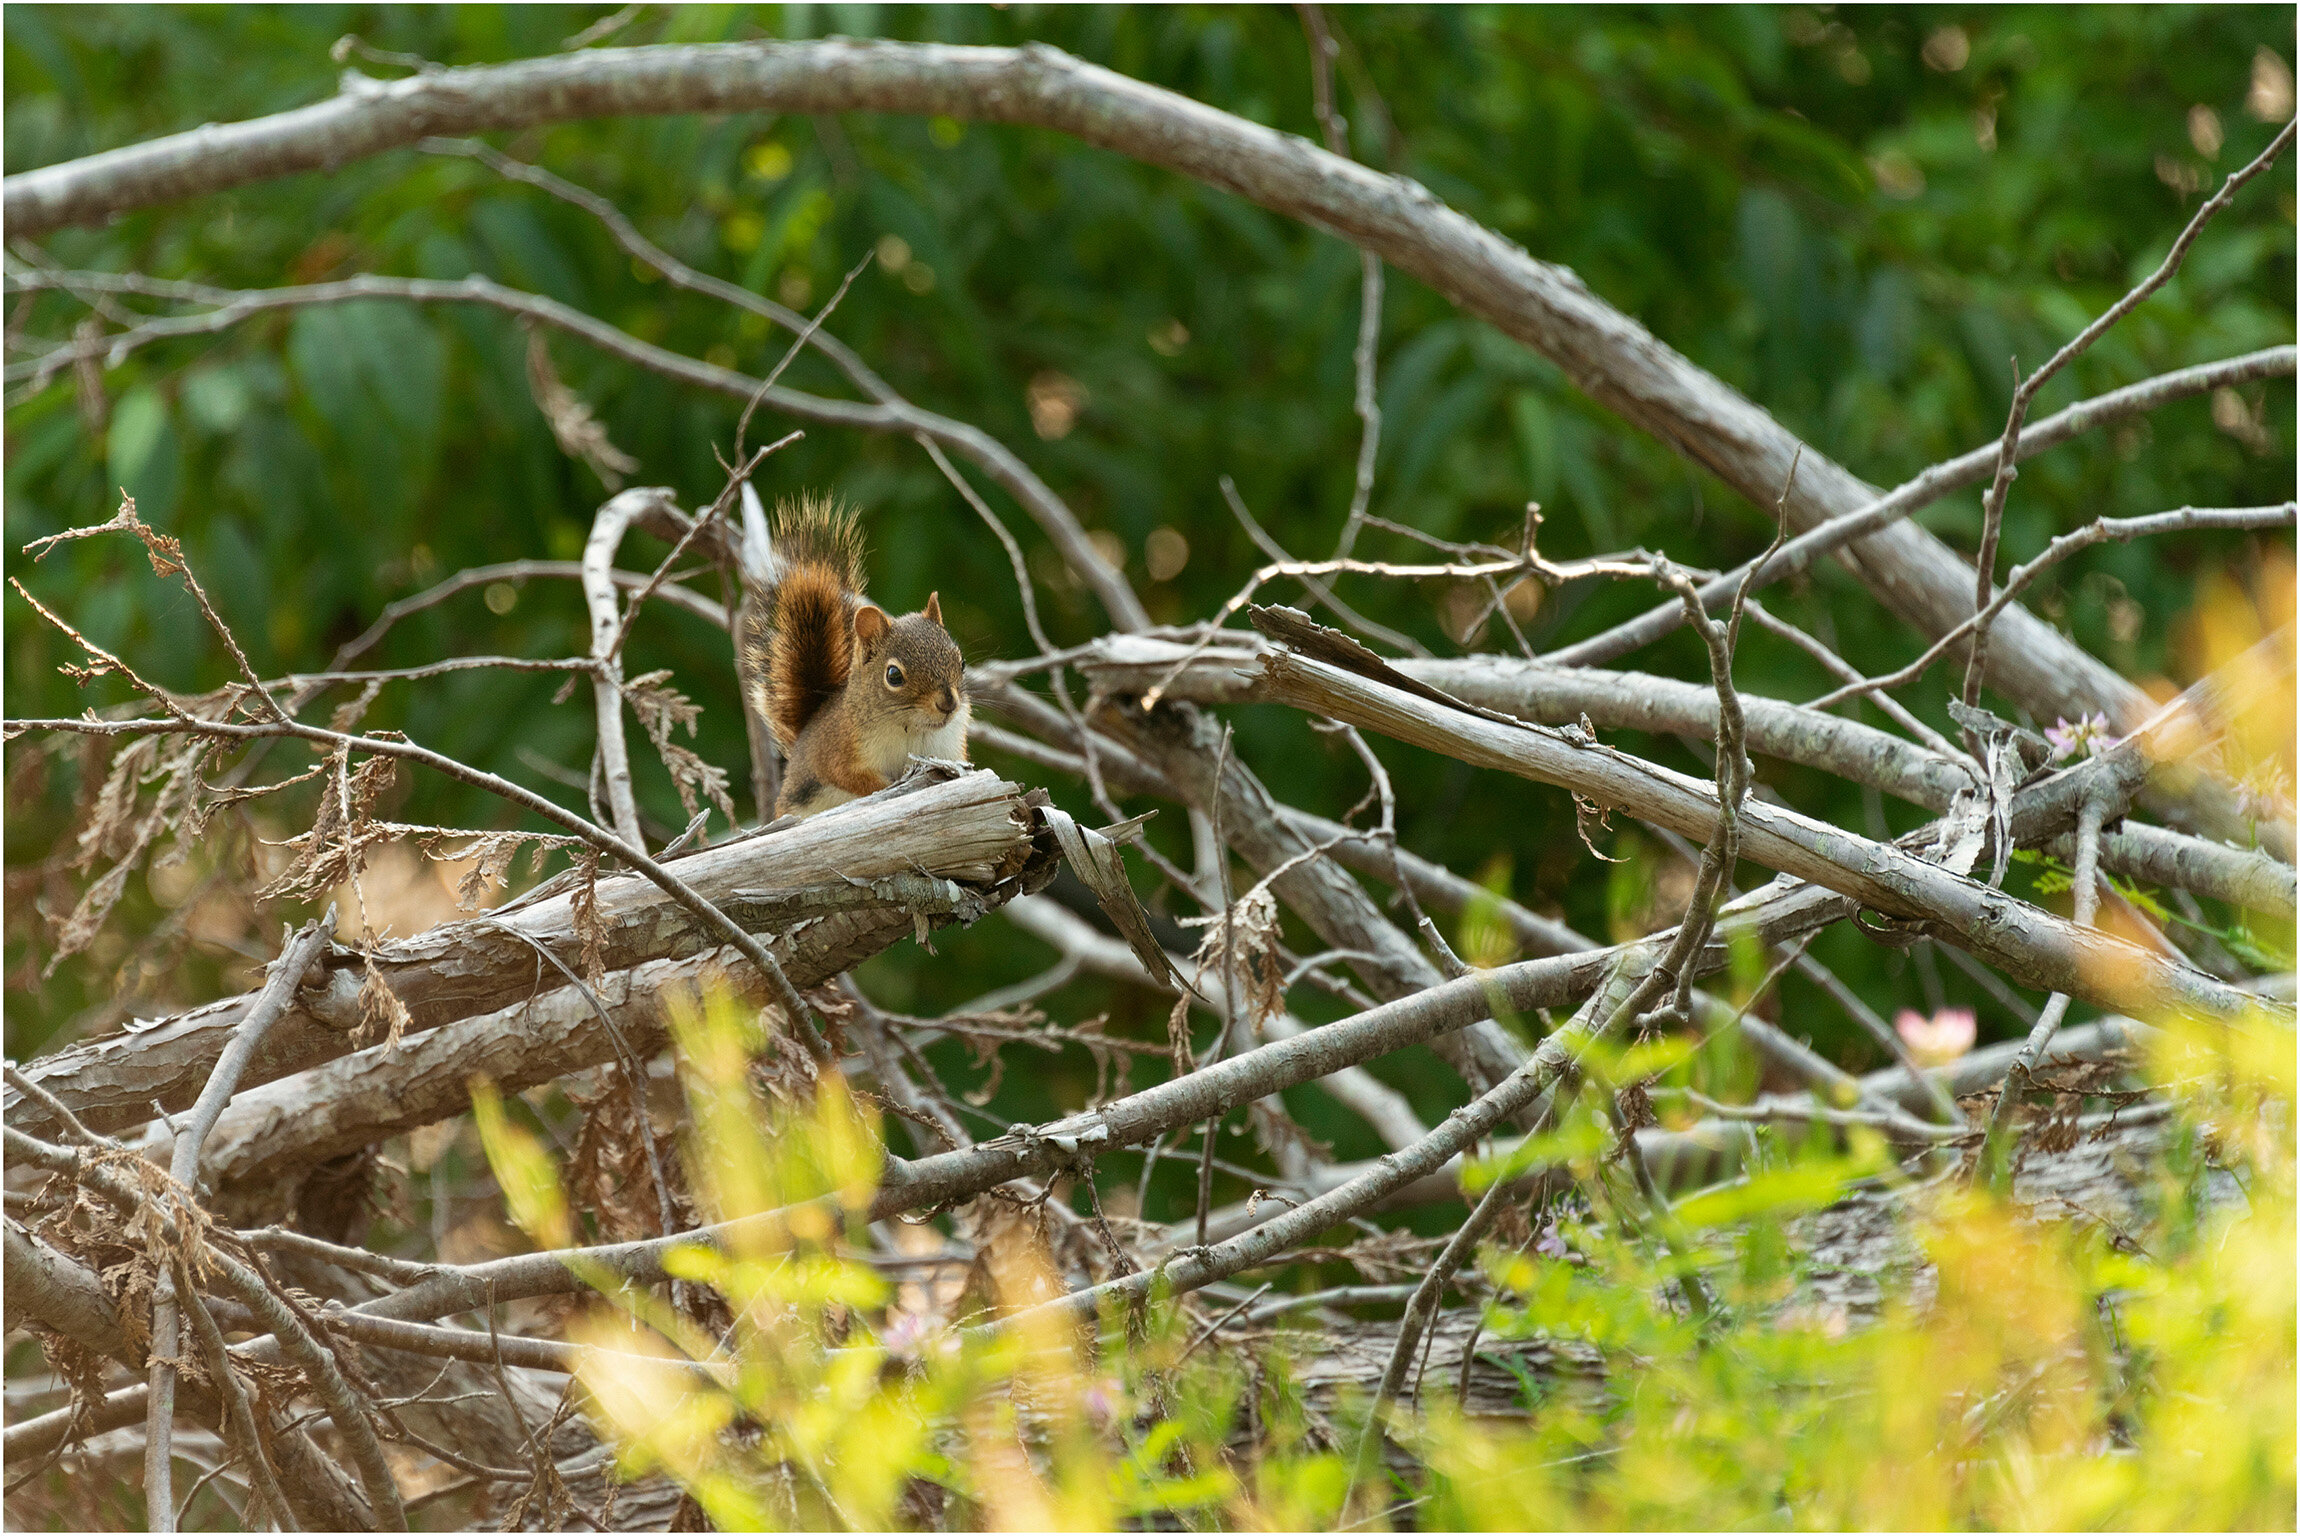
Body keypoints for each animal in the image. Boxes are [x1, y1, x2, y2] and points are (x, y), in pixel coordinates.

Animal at [740, 498, 966, 823]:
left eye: (961, 663)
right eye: (894, 676)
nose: (948, 703)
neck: (912, 728)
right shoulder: (839, 748)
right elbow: (848, 776)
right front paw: (887, 787)